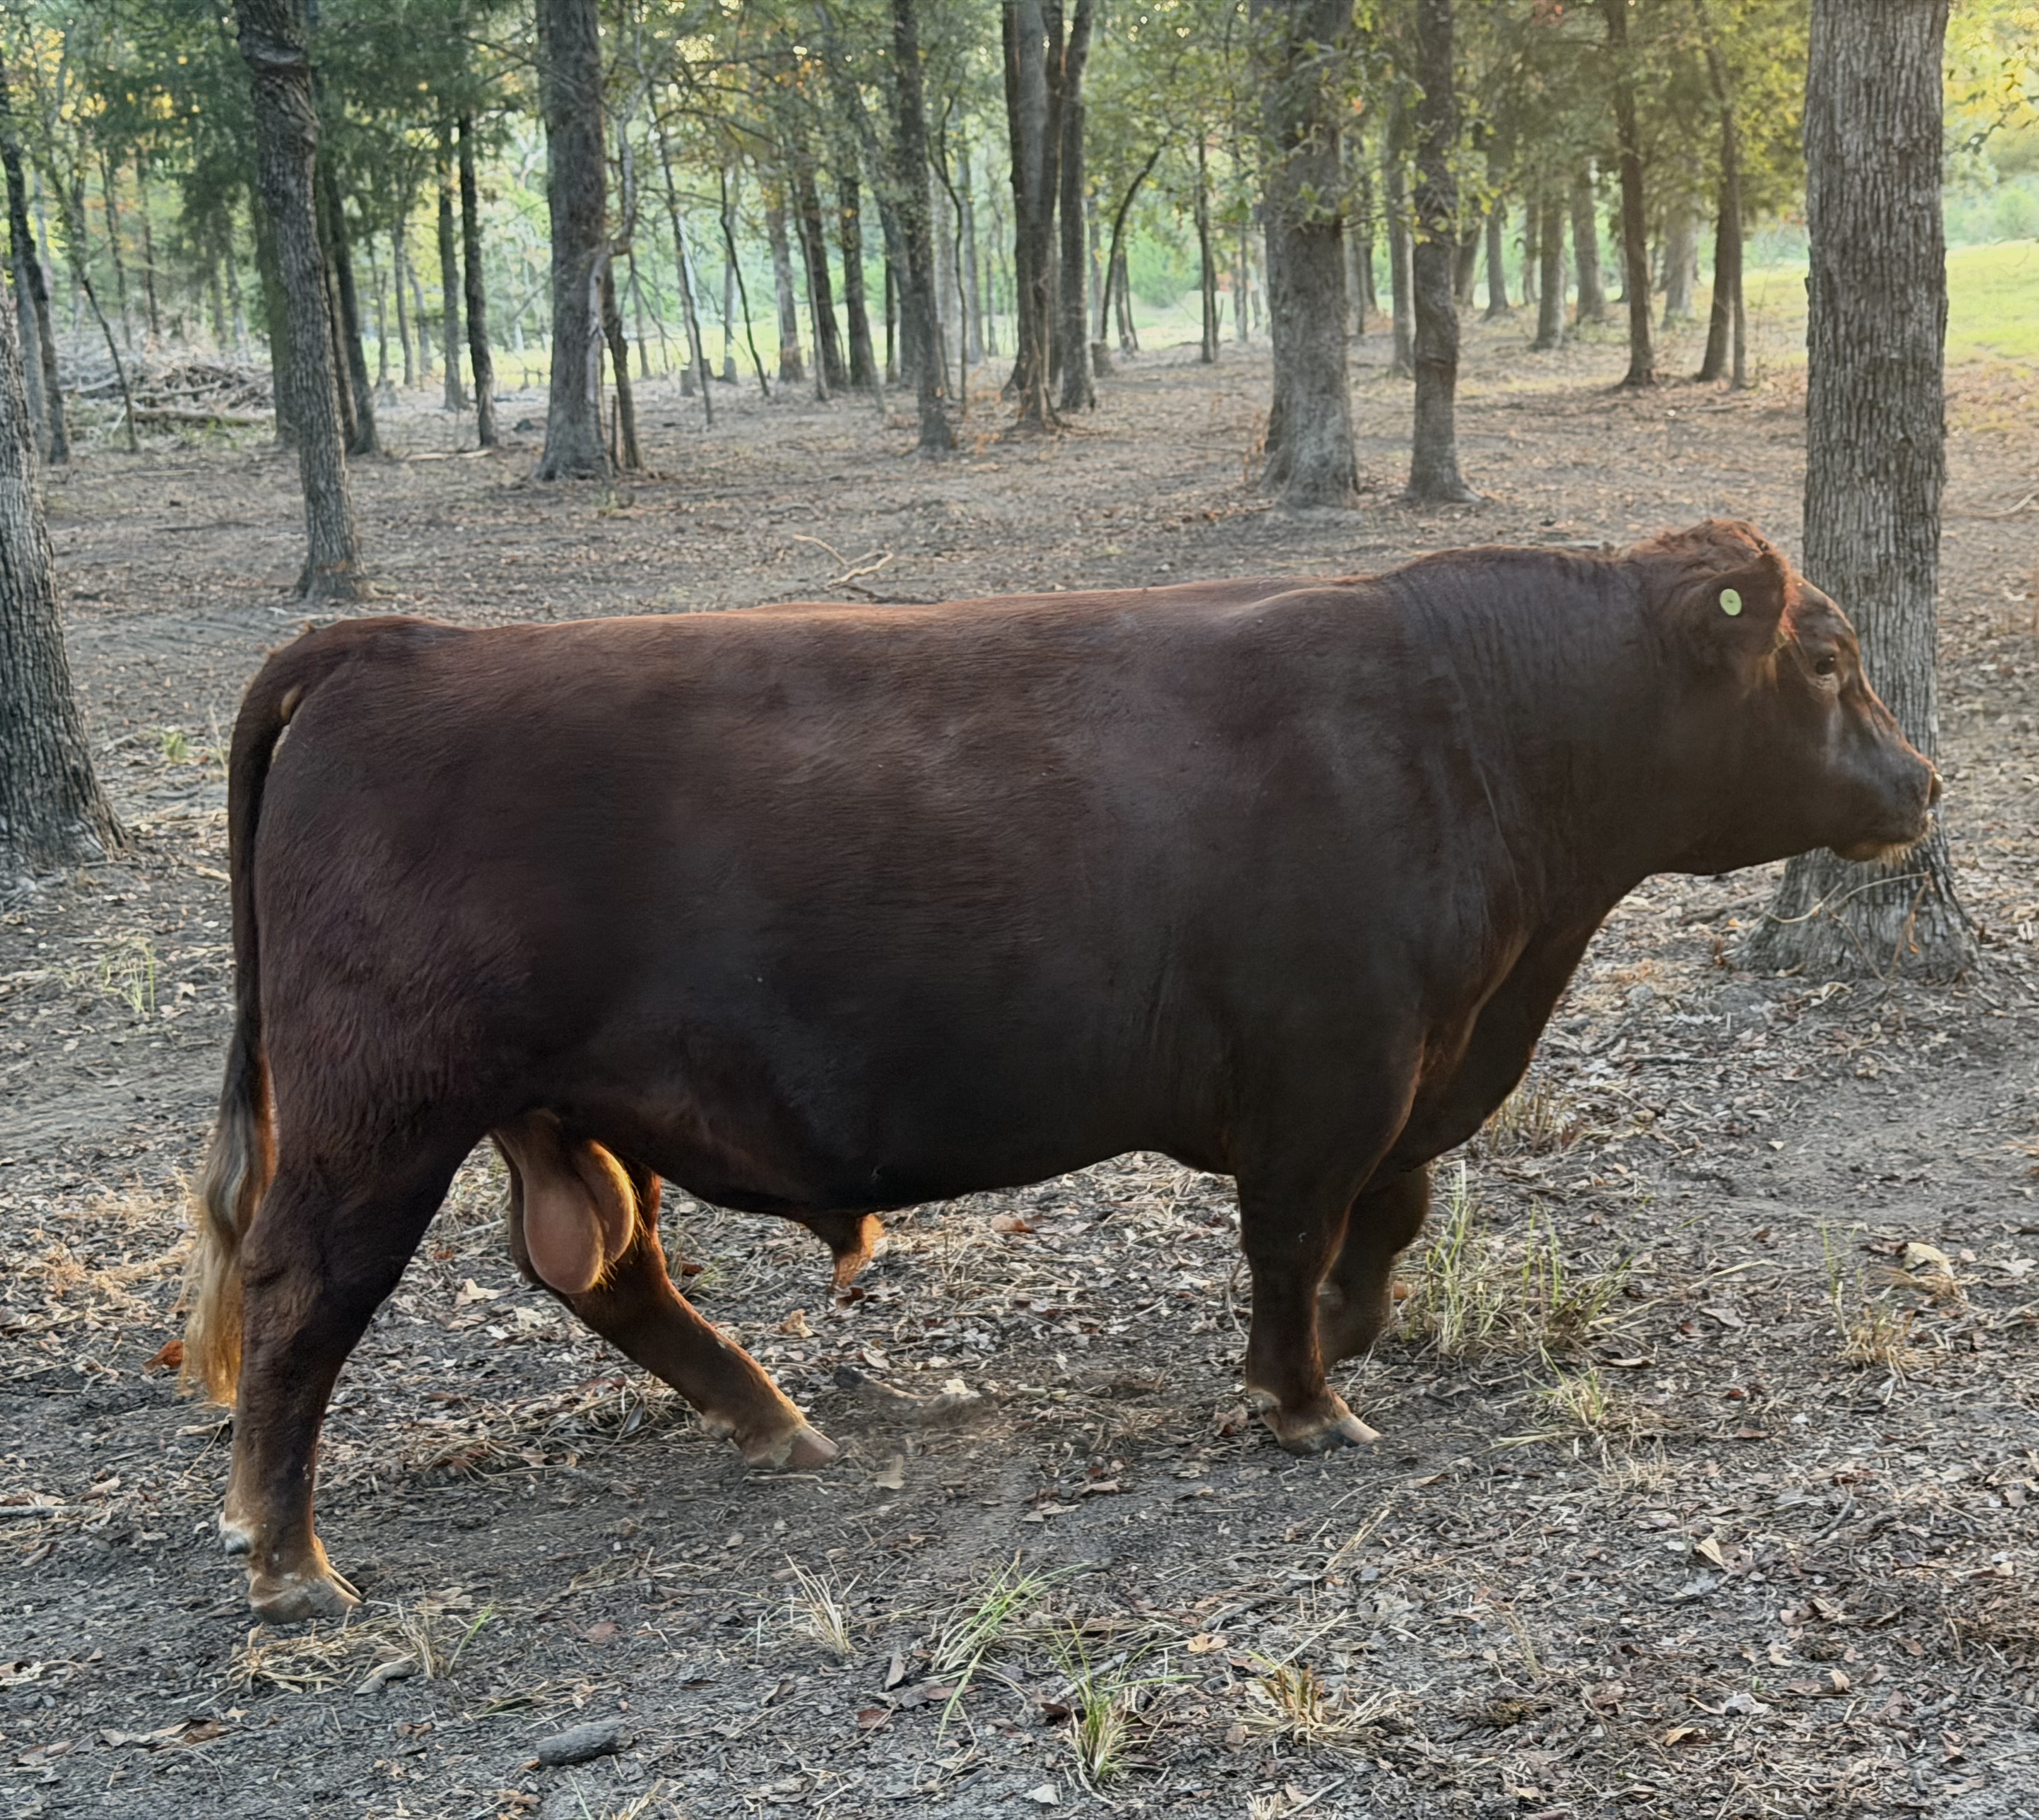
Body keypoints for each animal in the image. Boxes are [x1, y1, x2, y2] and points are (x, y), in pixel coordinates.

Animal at [181, 519, 1937, 1620]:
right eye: (1826, 663)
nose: (1922, 780)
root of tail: (393, 644)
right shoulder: (1332, 1075)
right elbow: (1298, 1235)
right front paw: (1303, 1400)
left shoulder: (1402, 1077)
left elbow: (1392, 1215)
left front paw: (1343, 1339)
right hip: (377, 1118)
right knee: (299, 1301)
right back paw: (288, 1563)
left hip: (559, 1115)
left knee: (604, 1272)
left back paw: (772, 1422)